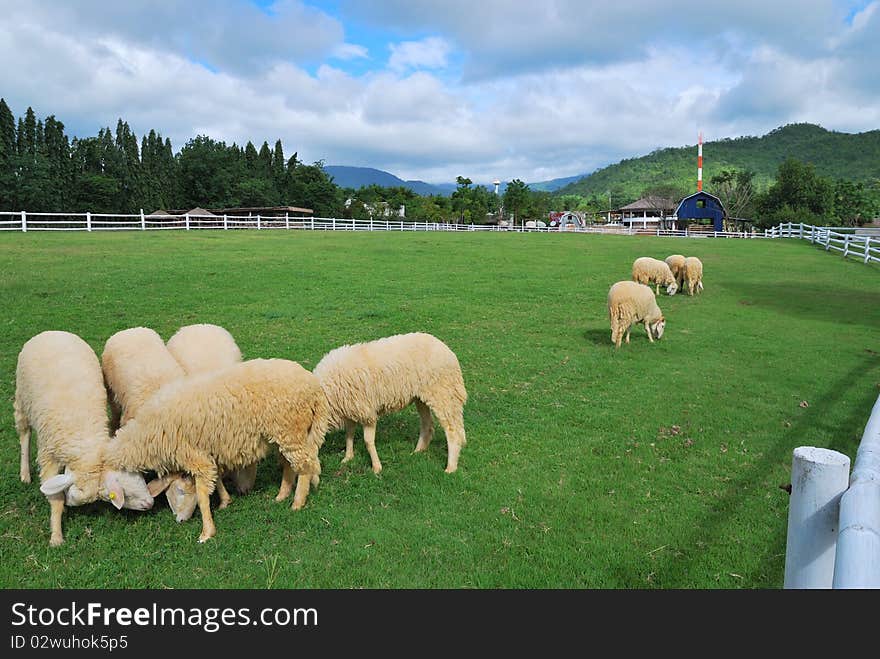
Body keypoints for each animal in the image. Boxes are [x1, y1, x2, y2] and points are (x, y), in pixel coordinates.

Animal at [15, 330, 155, 548]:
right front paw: (56, 534)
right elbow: (55, 497)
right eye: (117, 493)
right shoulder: (48, 455)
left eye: (138, 478)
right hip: (22, 396)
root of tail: (53, 331)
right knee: (24, 434)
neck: (85, 440)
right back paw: (25, 473)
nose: (150, 503)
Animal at [56, 358, 328, 544]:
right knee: (289, 465)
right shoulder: (207, 453)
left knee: (305, 467)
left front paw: (207, 532)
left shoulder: (193, 455)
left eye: (106, 494)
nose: (178, 521)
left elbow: (202, 492)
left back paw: (297, 502)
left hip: (290, 430)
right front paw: (225, 501)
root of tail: (314, 387)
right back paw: (282, 494)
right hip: (286, 434)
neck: (147, 433)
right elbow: (215, 481)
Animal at [314, 336, 468, 474]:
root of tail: (447, 350)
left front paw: (376, 467)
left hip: (443, 394)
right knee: (427, 424)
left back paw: (450, 467)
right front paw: (348, 457)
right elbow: (349, 434)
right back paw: (418, 451)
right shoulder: (350, 409)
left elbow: (368, 441)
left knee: (453, 431)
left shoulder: (367, 412)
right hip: (421, 398)